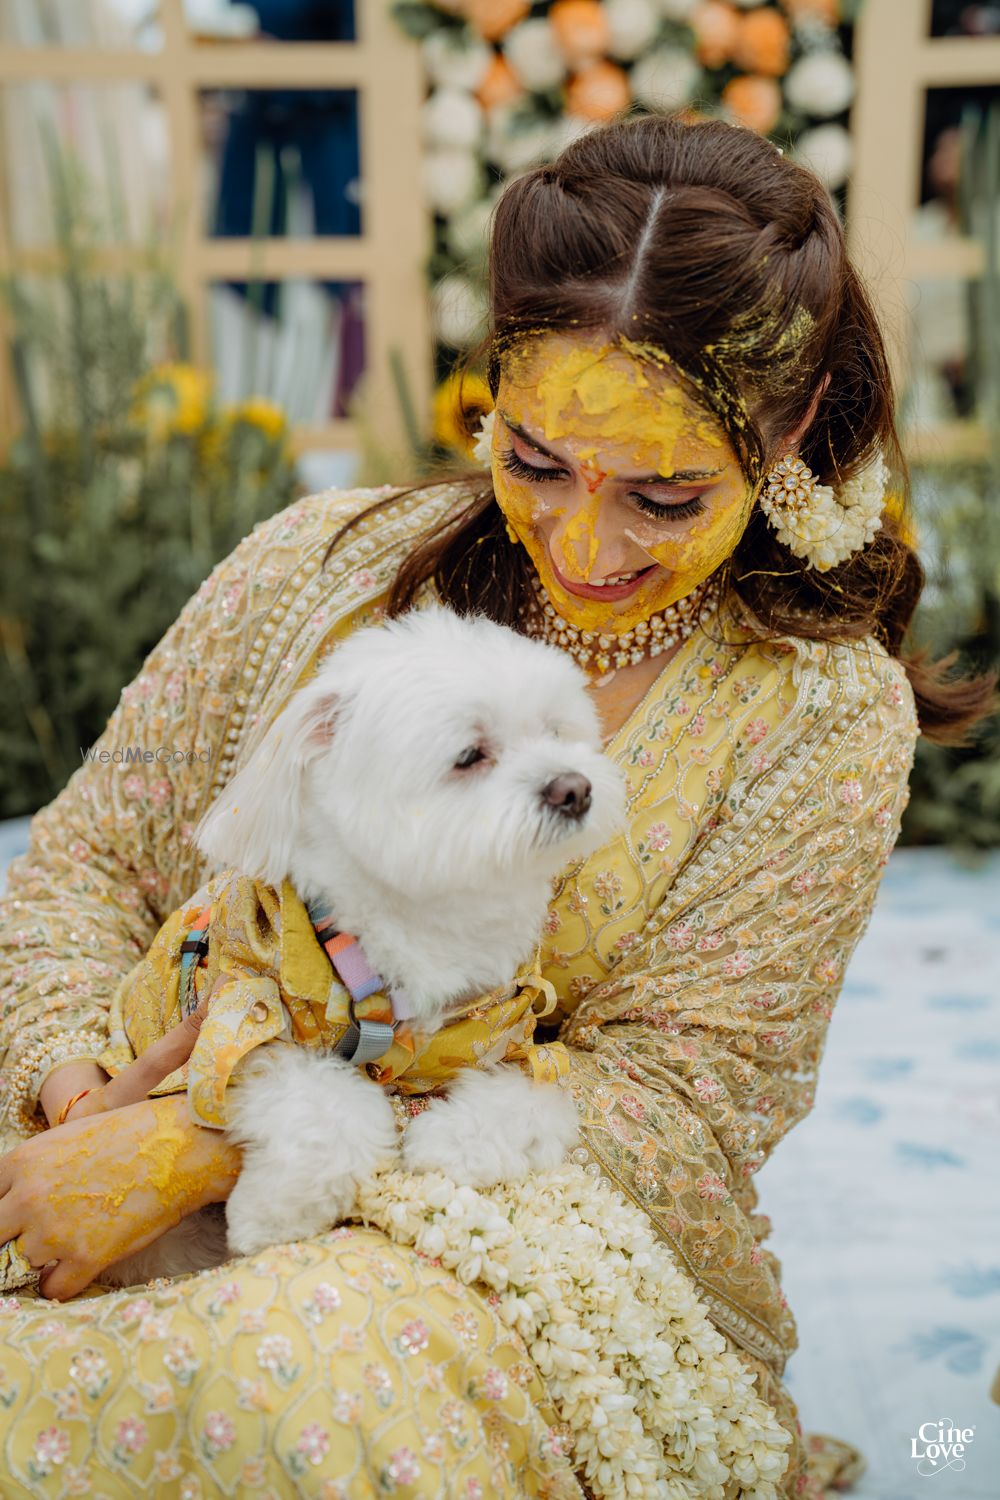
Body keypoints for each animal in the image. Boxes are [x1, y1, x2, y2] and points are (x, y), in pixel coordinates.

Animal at [99, 603, 626, 1284]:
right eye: (469, 754)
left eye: (556, 732)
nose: (574, 788)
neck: (427, 909)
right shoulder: (245, 1008)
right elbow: (329, 1111)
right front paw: (274, 1213)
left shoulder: (511, 1034)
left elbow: (538, 1098)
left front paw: (446, 1141)